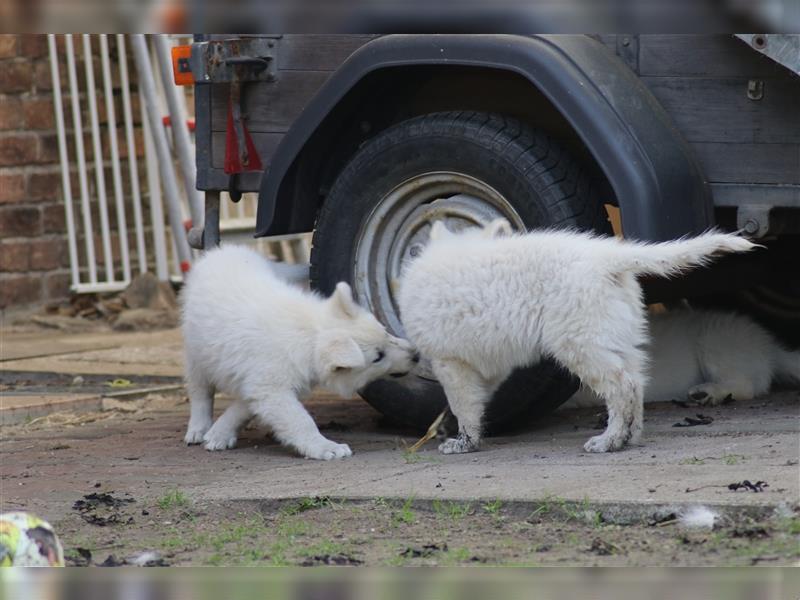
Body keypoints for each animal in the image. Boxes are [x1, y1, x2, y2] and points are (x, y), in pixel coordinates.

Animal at [181, 244, 418, 460]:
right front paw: (325, 447)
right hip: (196, 353)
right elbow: (300, 421)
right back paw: (198, 428)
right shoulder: (273, 389)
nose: (416, 354)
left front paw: (220, 433)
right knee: (200, 392)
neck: (310, 335)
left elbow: (242, 407)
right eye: (378, 357)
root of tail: (222, 251)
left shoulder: (260, 384)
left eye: (385, 332)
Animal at [400, 221, 756, 454]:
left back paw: (609, 441)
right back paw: (630, 436)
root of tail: (608, 258)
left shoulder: (449, 361)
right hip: (618, 339)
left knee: (621, 388)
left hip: (580, 342)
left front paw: (463, 441)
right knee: (636, 384)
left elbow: (463, 404)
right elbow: (477, 401)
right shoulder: (486, 362)